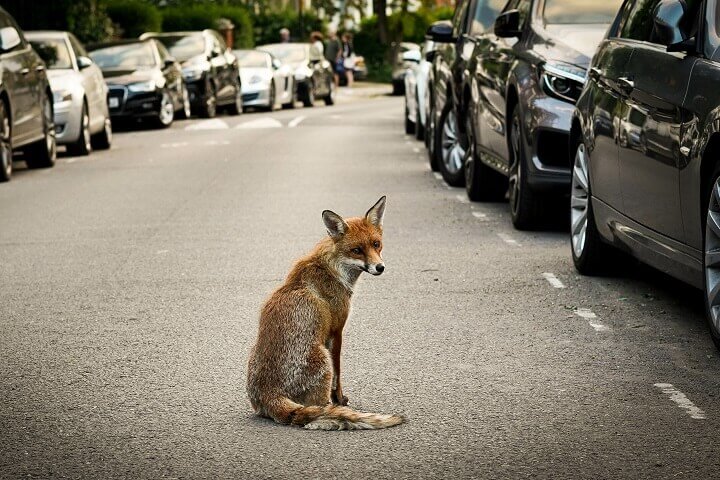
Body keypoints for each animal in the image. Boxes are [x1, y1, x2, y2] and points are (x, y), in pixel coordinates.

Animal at [246, 196, 405, 430]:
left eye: (376, 244)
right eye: (357, 250)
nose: (380, 267)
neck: (332, 270)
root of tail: (270, 394)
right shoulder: (337, 331)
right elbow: (338, 377)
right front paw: (340, 400)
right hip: (322, 358)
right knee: (314, 411)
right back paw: (330, 414)